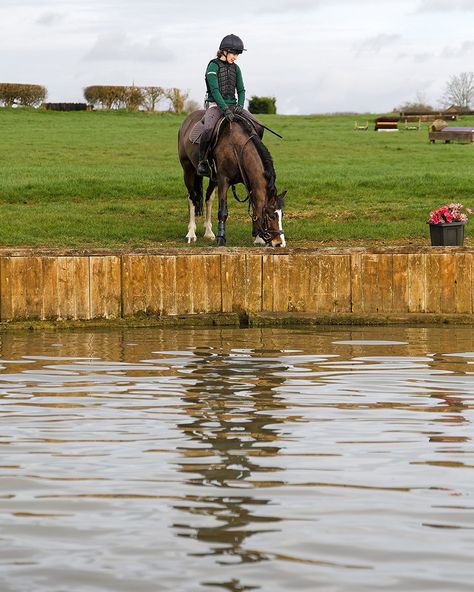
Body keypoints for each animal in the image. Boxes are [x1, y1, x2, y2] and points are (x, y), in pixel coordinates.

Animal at [177, 109, 286, 247]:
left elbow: (255, 207)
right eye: (271, 215)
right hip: (188, 170)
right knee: (192, 198)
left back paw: (209, 232)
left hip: (213, 179)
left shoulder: (249, 182)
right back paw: (191, 233)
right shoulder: (224, 181)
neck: (237, 147)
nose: (280, 243)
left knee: (208, 199)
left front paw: (258, 238)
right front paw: (221, 239)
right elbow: (222, 212)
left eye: (282, 215)